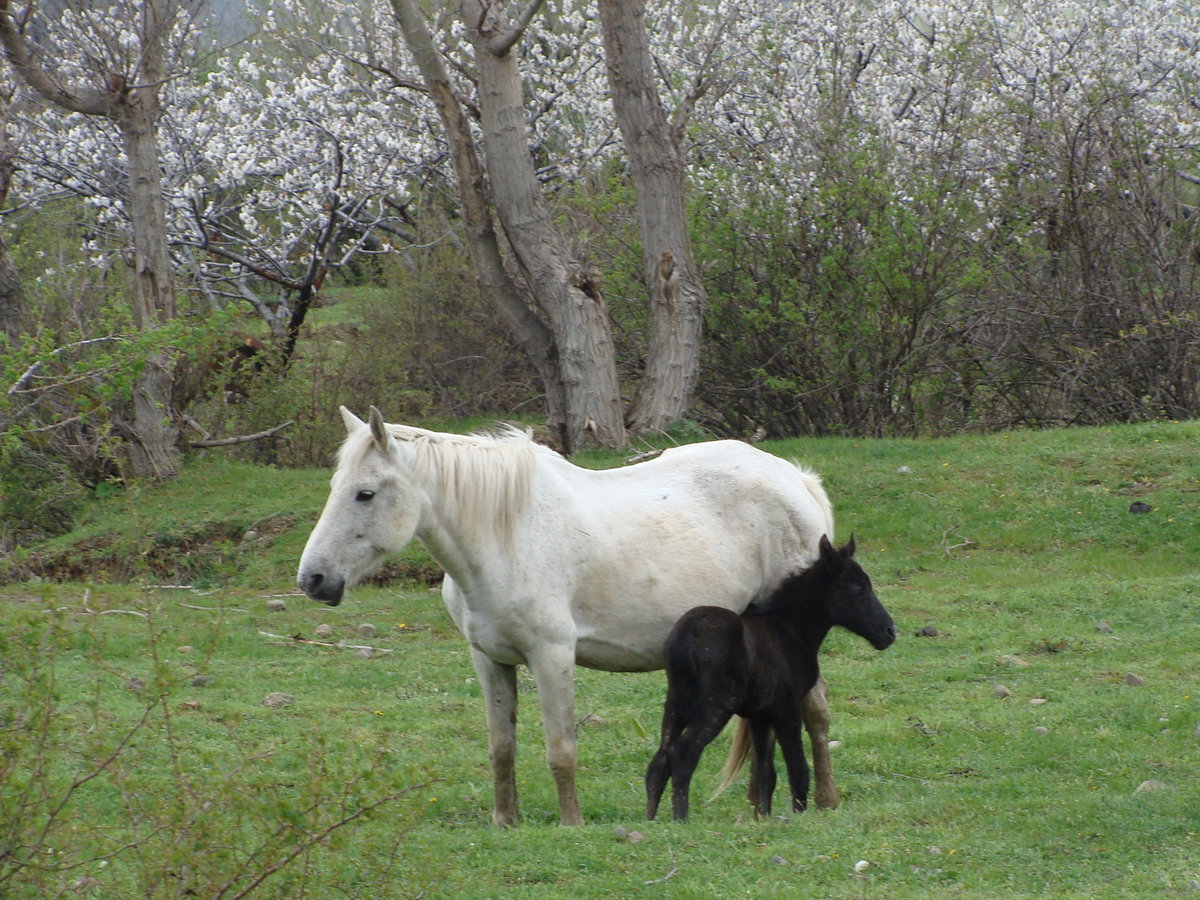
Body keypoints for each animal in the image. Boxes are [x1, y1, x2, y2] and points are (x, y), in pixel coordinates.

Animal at [298, 406, 842, 827]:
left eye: (365, 493)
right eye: (336, 485)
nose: (313, 579)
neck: (506, 535)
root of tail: (796, 479)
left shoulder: (552, 656)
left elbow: (561, 750)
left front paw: (570, 823)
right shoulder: (489, 659)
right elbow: (501, 747)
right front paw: (505, 820)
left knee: (815, 713)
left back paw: (825, 801)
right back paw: (756, 806)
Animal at [646, 535, 896, 823]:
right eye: (857, 588)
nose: (890, 632)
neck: (790, 629)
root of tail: (688, 635)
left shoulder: (759, 716)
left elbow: (766, 773)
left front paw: (763, 819)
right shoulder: (786, 708)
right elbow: (798, 769)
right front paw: (799, 816)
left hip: (676, 700)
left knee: (660, 758)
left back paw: (651, 818)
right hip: (717, 703)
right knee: (684, 752)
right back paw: (681, 818)